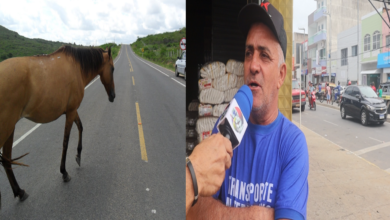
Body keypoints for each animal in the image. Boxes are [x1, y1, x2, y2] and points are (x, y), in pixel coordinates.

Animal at [0, 45, 116, 206]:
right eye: (112, 69)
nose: (113, 96)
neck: (77, 66)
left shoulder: (72, 110)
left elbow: (81, 127)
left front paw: (78, 155)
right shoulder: (71, 112)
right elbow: (65, 142)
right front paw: (64, 173)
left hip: (10, 128)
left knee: (6, 160)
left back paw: (20, 192)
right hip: (6, 127)